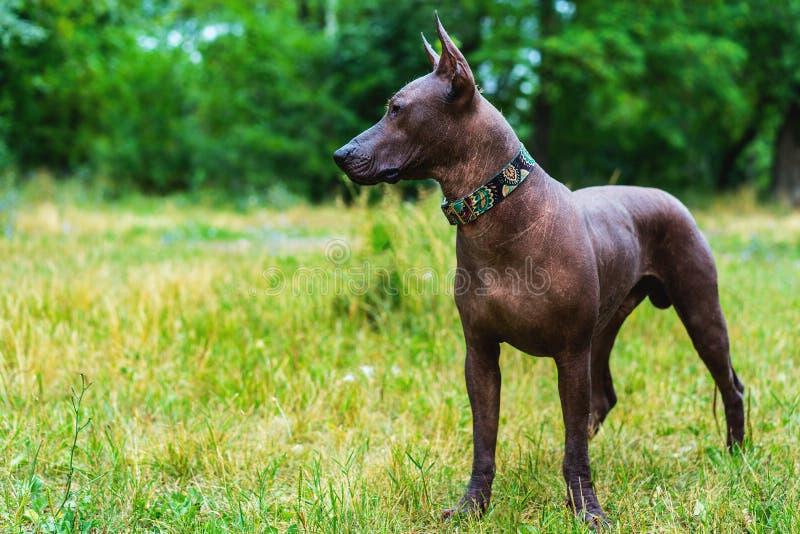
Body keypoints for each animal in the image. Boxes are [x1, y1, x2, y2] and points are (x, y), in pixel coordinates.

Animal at [332, 15, 744, 528]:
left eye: (396, 109)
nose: (340, 154)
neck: (498, 212)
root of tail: (670, 197)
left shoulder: (569, 354)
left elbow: (574, 449)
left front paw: (588, 510)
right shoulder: (480, 355)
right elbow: (484, 441)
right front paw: (473, 507)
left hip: (699, 311)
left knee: (730, 384)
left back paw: (735, 455)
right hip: (603, 332)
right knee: (600, 403)